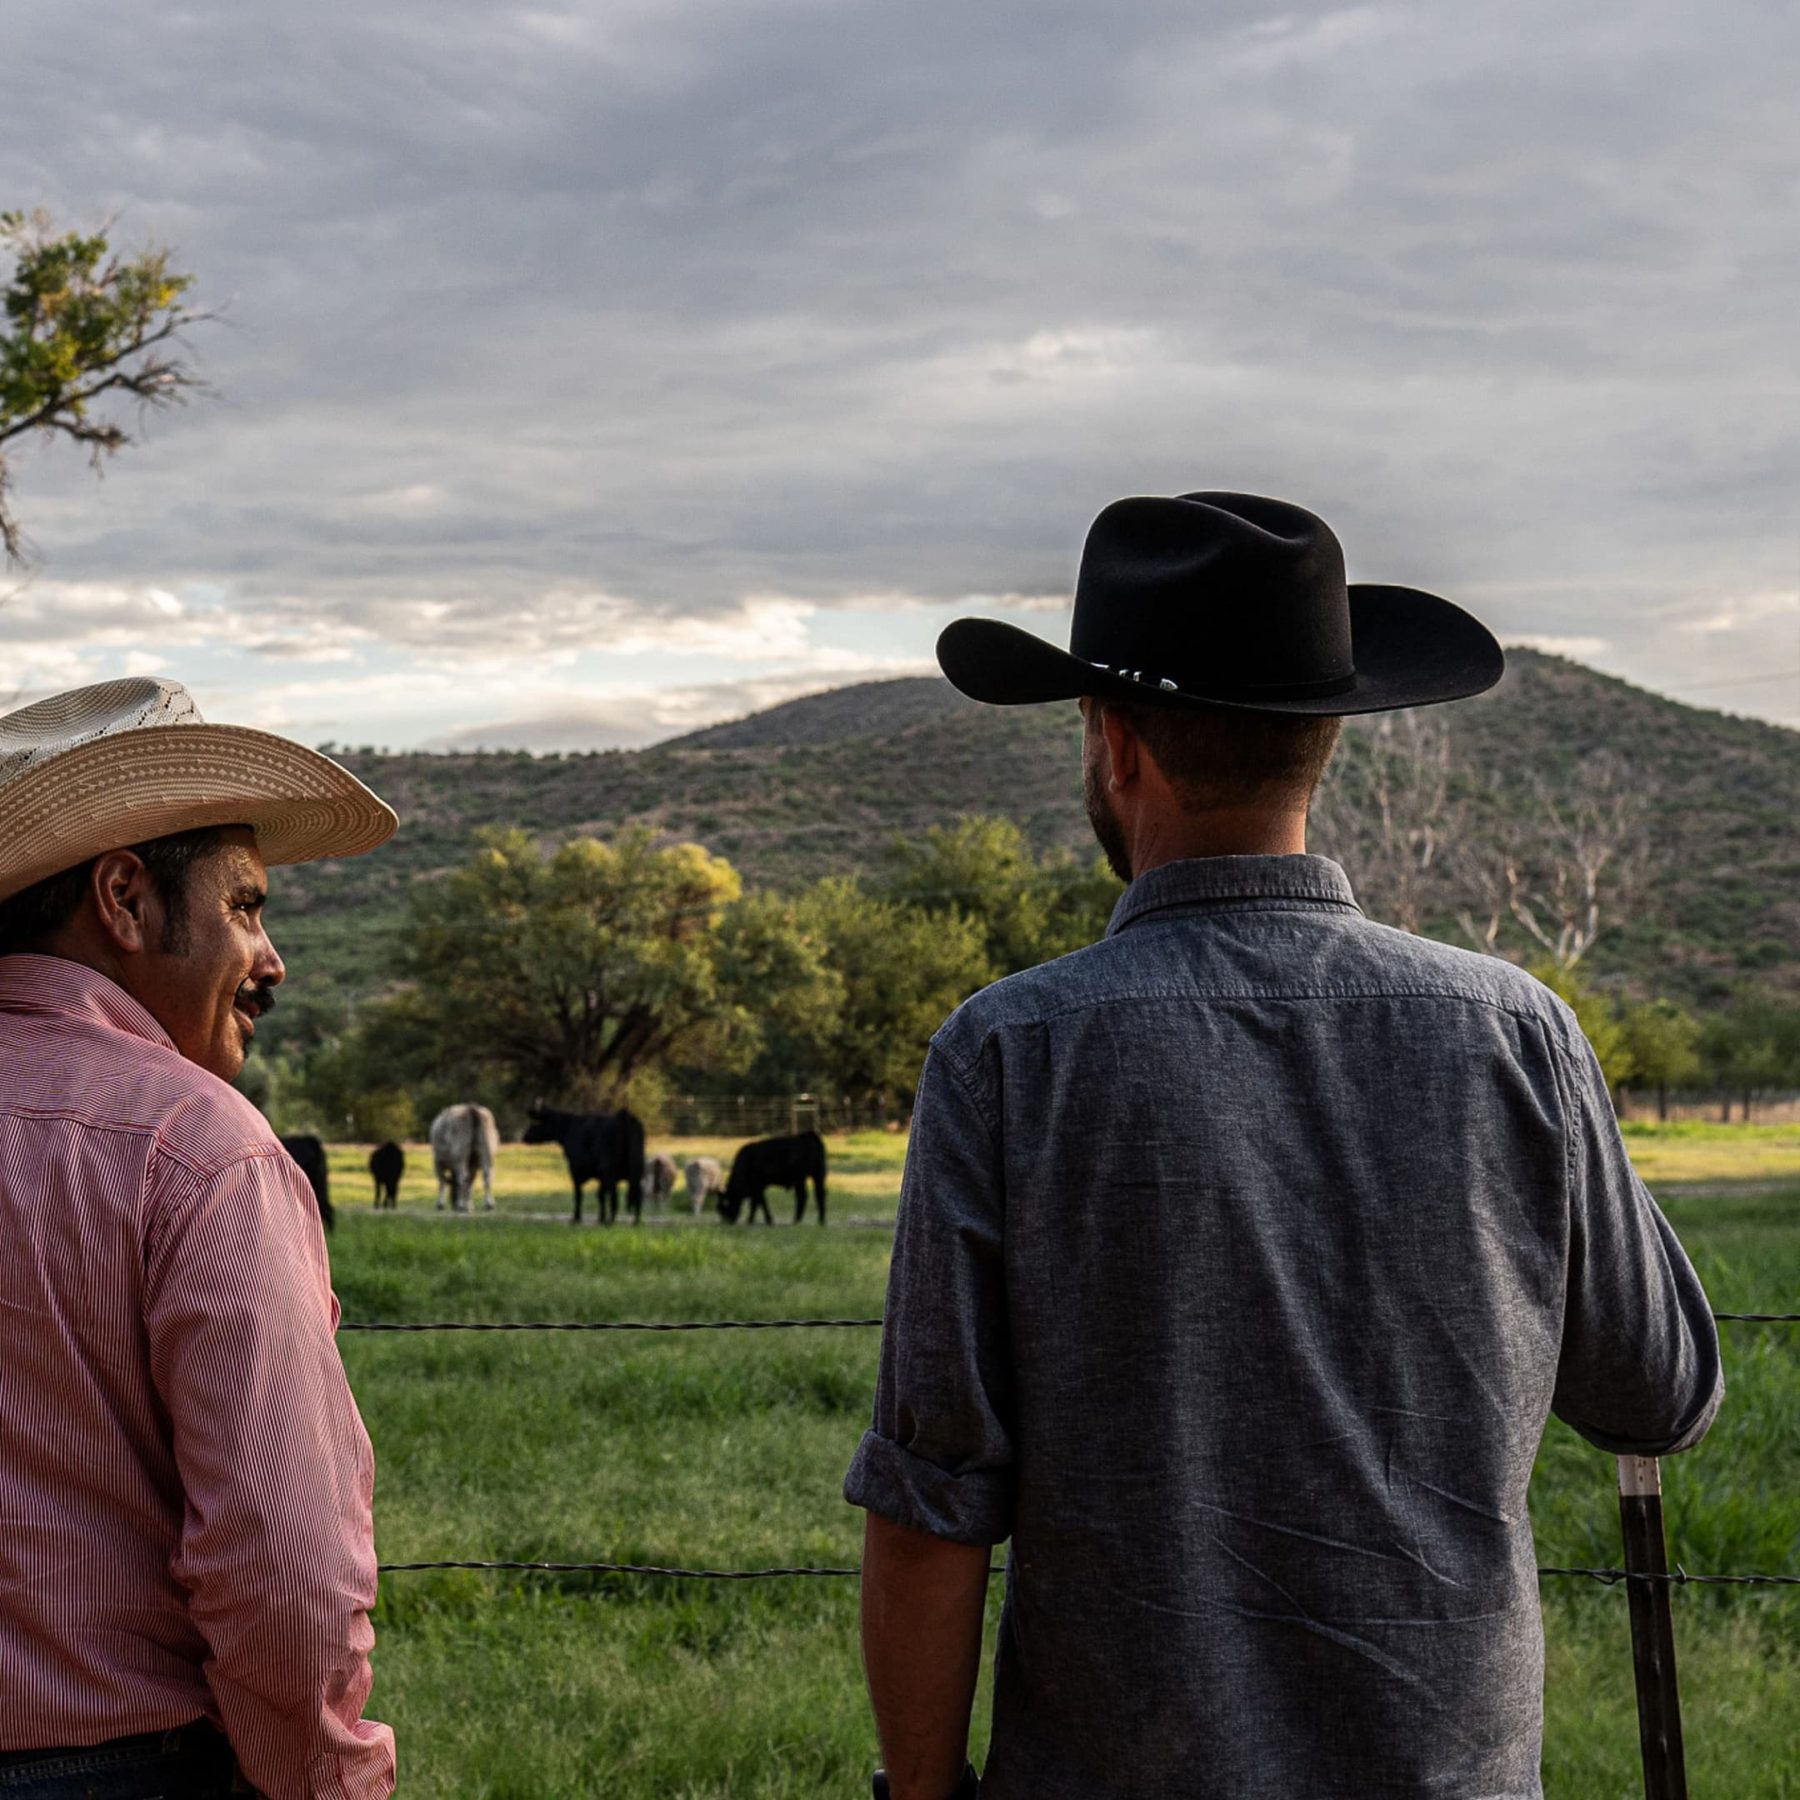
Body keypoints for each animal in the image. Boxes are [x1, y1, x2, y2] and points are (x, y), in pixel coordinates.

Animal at [522, 1101, 648, 1231]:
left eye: (536, 1122)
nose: (524, 1136)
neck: (568, 1128)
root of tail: (623, 1115)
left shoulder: (575, 1169)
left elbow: (578, 1194)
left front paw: (576, 1219)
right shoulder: (600, 1176)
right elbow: (600, 1195)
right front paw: (600, 1219)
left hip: (609, 1170)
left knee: (614, 1196)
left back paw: (610, 1223)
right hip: (637, 1169)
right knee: (637, 1195)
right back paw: (635, 1222)